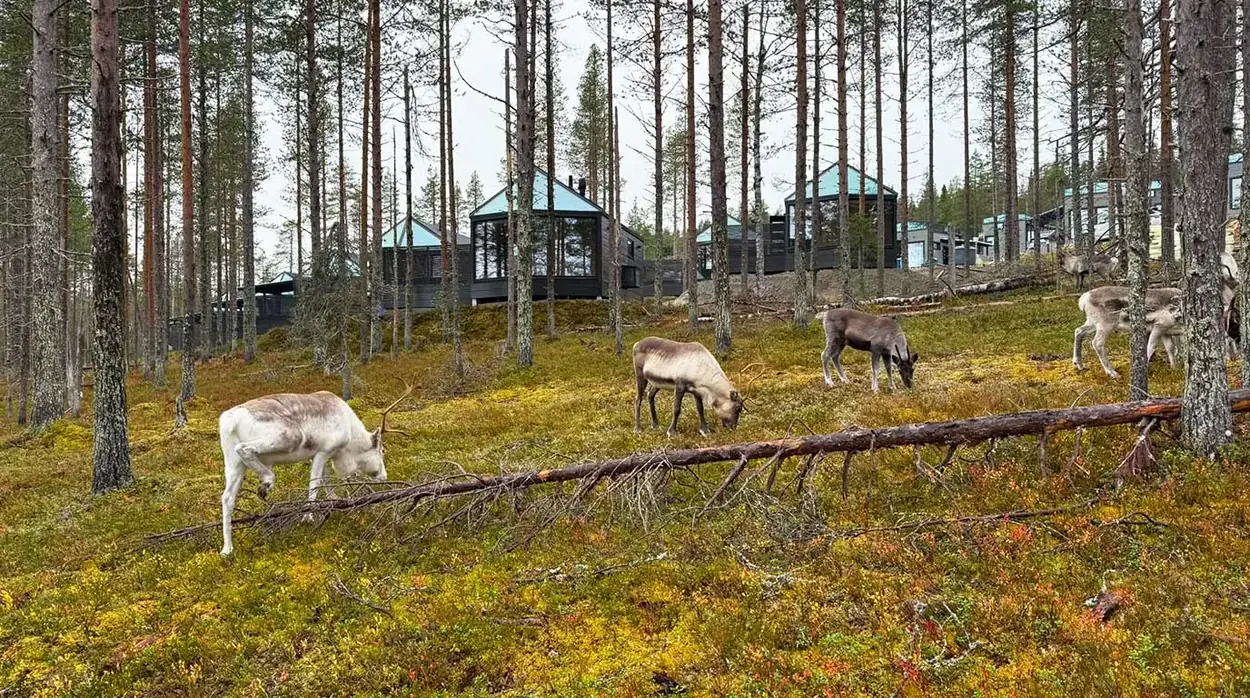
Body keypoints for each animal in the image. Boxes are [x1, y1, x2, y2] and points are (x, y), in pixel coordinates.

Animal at [217, 382, 413, 556]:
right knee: (244, 449)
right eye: (382, 450)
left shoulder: (323, 456)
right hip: (288, 438)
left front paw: (336, 504)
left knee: (227, 498)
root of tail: (230, 420)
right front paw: (308, 517)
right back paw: (267, 482)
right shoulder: (322, 452)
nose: (384, 476)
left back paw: (227, 549)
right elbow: (315, 484)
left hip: (233, 463)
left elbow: (326, 483)